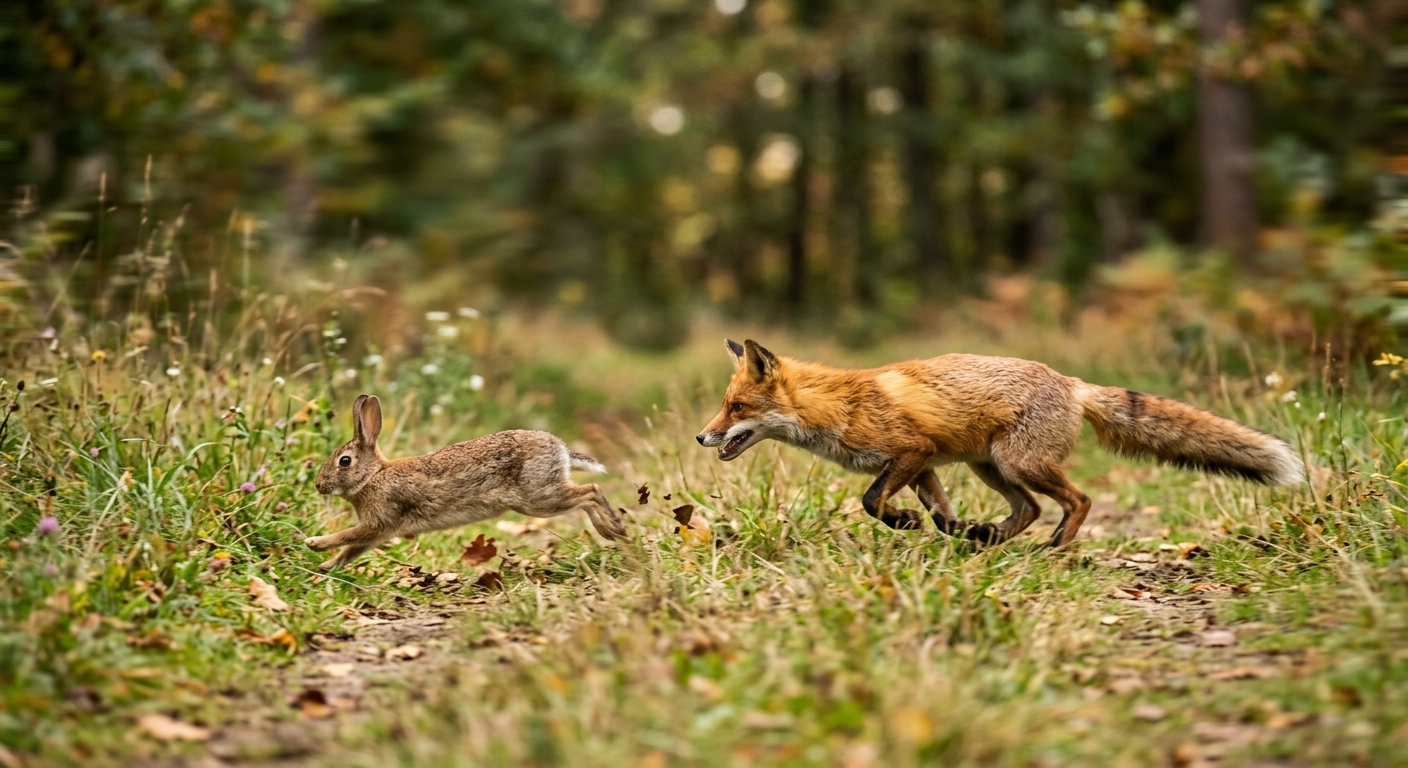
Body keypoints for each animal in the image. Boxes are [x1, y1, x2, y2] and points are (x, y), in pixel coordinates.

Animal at [307, 394, 628, 570]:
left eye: (344, 461)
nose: (319, 485)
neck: (373, 476)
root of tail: (560, 449)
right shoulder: (377, 532)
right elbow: (350, 550)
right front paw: (326, 566)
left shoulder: (380, 521)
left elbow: (346, 536)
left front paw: (314, 543)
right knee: (586, 496)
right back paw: (609, 532)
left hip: (538, 497)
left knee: (591, 491)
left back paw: (616, 528)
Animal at [696, 340, 1303, 548]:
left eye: (736, 408)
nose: (702, 436)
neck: (838, 406)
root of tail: (1071, 382)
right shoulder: (924, 463)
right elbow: (940, 515)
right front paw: (947, 528)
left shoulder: (910, 452)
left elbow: (871, 501)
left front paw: (905, 523)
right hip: (991, 469)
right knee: (1030, 509)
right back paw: (991, 536)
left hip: (1018, 462)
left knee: (1078, 500)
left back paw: (1055, 546)